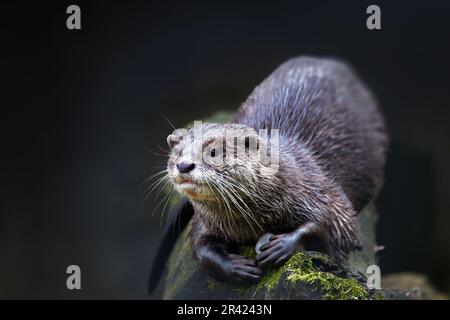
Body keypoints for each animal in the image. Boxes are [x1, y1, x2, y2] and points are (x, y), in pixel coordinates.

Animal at [148, 57, 386, 290]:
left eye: (213, 152)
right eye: (178, 152)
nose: (183, 165)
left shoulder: (318, 188)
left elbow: (333, 224)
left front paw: (283, 246)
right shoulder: (205, 221)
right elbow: (200, 247)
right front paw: (235, 267)